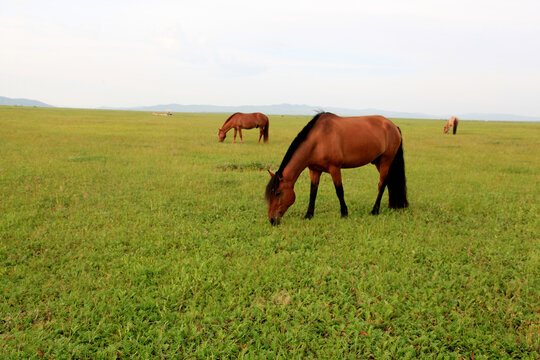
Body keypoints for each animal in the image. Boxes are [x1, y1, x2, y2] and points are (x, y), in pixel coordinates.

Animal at [264, 112, 408, 225]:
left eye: (278, 193)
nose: (272, 219)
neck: (318, 140)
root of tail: (393, 126)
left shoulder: (335, 169)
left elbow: (339, 191)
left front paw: (344, 213)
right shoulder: (314, 170)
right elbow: (313, 192)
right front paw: (309, 215)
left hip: (386, 161)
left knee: (381, 184)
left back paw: (375, 210)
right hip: (379, 162)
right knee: (388, 182)